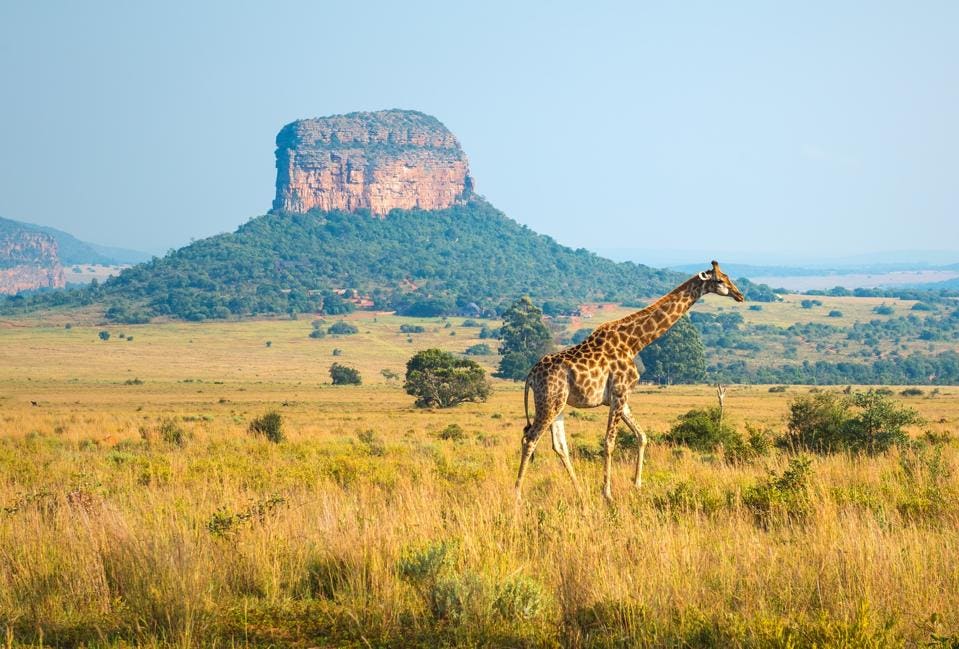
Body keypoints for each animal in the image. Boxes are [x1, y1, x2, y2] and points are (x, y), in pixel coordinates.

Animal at [512, 260, 748, 502]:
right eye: (719, 280)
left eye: (728, 277)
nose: (739, 295)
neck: (634, 343)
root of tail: (531, 375)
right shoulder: (619, 393)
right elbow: (609, 442)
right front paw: (607, 493)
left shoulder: (621, 397)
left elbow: (641, 436)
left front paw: (637, 484)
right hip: (549, 401)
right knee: (530, 439)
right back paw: (518, 494)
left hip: (558, 404)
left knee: (559, 445)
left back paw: (579, 491)